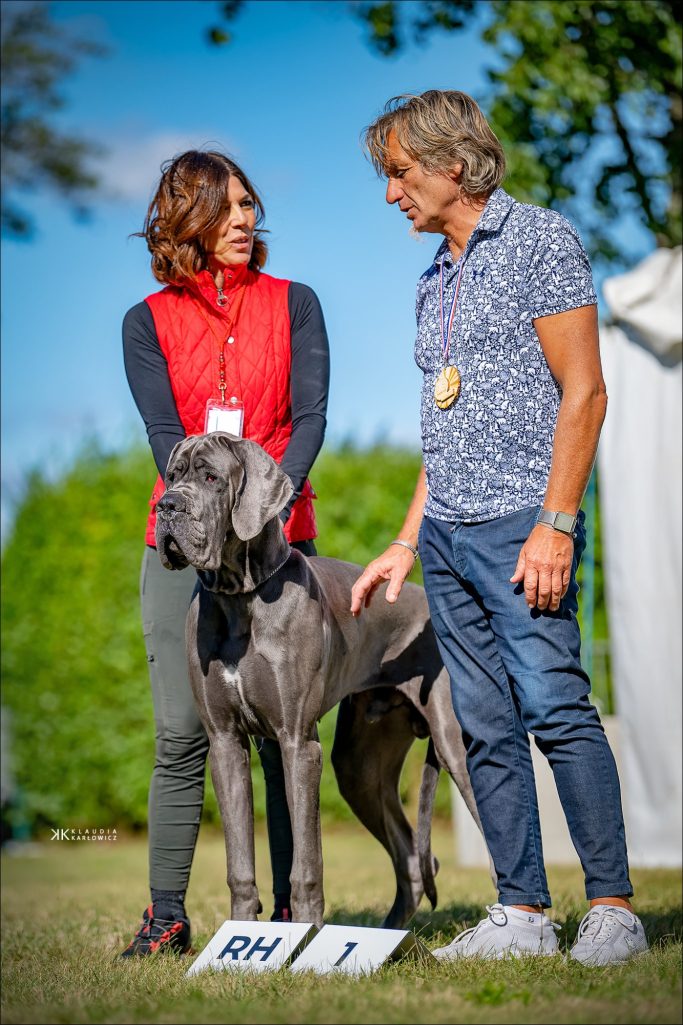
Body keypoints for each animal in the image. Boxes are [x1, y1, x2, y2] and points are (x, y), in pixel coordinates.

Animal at [153, 432, 484, 930]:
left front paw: (306, 932)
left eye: (210, 477)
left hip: (454, 745)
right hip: (358, 767)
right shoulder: (225, 742)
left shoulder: (298, 742)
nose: (167, 506)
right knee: (411, 855)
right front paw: (241, 930)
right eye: (172, 476)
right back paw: (391, 934)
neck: (241, 597)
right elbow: (239, 864)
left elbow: (306, 862)